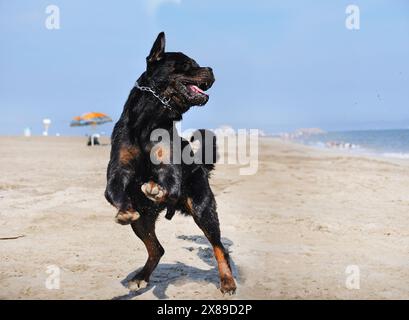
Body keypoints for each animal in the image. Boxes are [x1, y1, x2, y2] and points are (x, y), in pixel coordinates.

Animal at [103, 33, 234, 296]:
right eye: (187, 64)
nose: (211, 69)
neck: (149, 120)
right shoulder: (118, 171)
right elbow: (114, 192)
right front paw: (123, 210)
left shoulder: (170, 170)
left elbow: (167, 185)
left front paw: (154, 188)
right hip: (142, 222)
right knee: (157, 249)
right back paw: (141, 277)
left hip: (203, 209)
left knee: (219, 248)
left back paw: (228, 281)